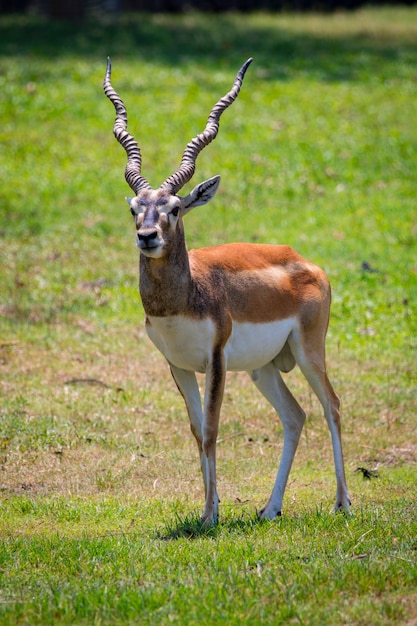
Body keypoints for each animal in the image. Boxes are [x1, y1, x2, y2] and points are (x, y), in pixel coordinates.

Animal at [102, 57, 350, 520]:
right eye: (134, 209)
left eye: (174, 208)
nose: (147, 237)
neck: (184, 299)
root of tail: (306, 263)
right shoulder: (177, 364)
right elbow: (197, 430)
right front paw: (210, 508)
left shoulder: (215, 359)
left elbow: (214, 429)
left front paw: (210, 515)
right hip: (264, 367)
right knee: (295, 416)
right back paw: (270, 509)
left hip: (308, 351)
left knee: (332, 405)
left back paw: (343, 502)